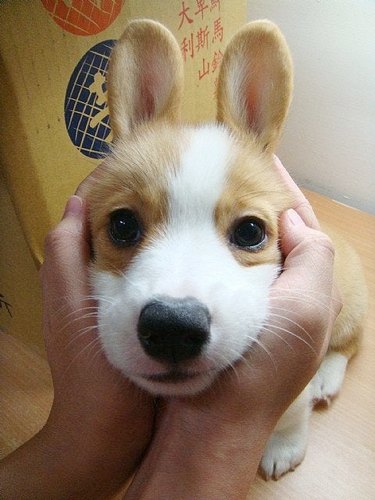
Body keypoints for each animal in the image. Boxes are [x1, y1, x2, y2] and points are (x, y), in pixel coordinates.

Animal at [86, 20, 368, 480]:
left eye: (251, 231)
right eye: (122, 225)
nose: (173, 328)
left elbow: (291, 413)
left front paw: (283, 447)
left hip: (351, 309)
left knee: (351, 342)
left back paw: (327, 377)